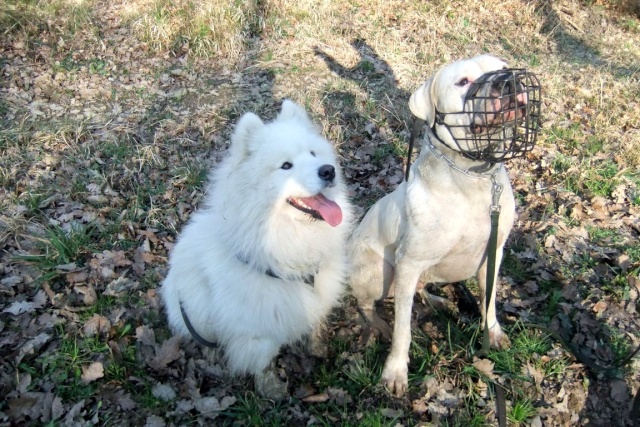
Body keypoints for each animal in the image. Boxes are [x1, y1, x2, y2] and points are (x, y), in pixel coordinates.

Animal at [159, 100, 350, 402]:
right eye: (286, 166)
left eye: (313, 153)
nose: (328, 170)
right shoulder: (257, 333)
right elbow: (264, 363)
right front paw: (271, 390)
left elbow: (314, 325)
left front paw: (317, 347)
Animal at [348, 56, 532, 398]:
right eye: (462, 82)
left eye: (502, 66)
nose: (508, 81)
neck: (473, 177)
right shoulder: (409, 262)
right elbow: (403, 329)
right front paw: (395, 371)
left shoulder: (494, 252)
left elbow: (489, 300)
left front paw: (493, 332)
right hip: (378, 270)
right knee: (368, 304)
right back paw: (378, 324)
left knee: (417, 290)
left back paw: (439, 300)